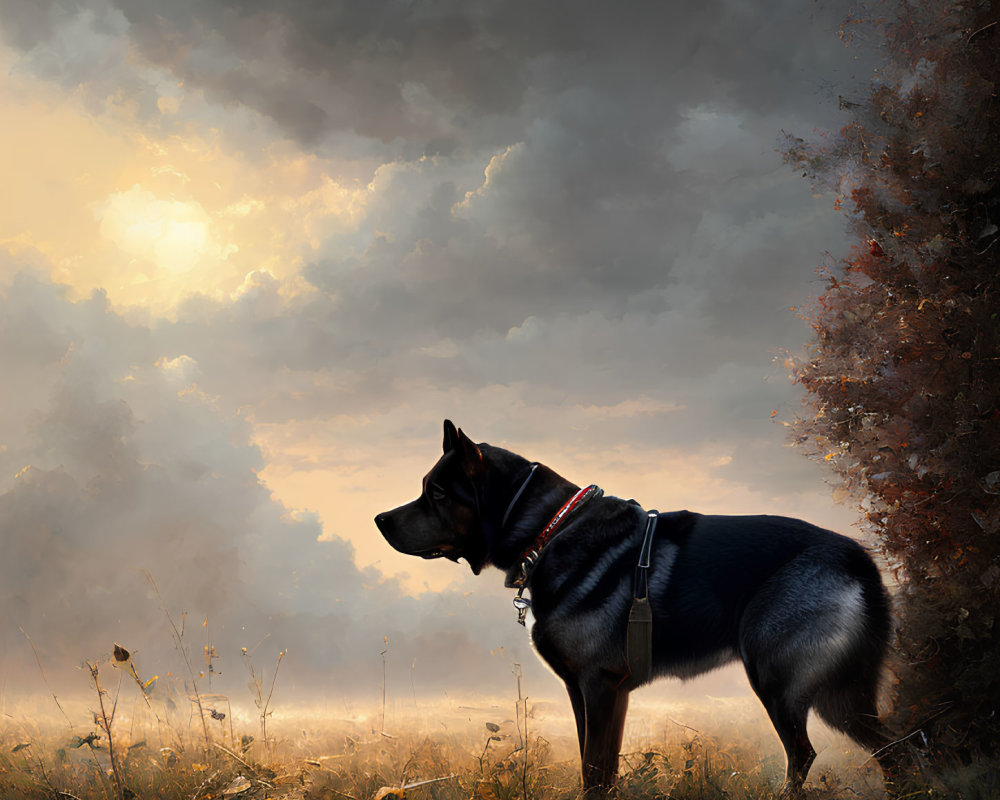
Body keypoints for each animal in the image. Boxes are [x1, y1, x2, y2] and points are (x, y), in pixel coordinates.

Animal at [374, 422, 900, 792]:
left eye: (437, 493)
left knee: (804, 754)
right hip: (840, 694)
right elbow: (600, 769)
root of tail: (857, 557)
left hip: (781, 684)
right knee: (894, 749)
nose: (379, 520)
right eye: (425, 486)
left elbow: (594, 771)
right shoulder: (595, 693)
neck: (550, 528)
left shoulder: (598, 686)